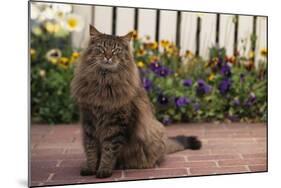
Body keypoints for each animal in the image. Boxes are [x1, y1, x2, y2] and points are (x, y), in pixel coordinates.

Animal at [70, 24, 201, 178]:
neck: (103, 82)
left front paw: (104, 170)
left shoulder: (117, 124)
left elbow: (109, 150)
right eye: (101, 48)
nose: (108, 56)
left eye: (116, 50)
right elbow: (91, 149)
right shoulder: (88, 120)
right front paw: (90, 168)